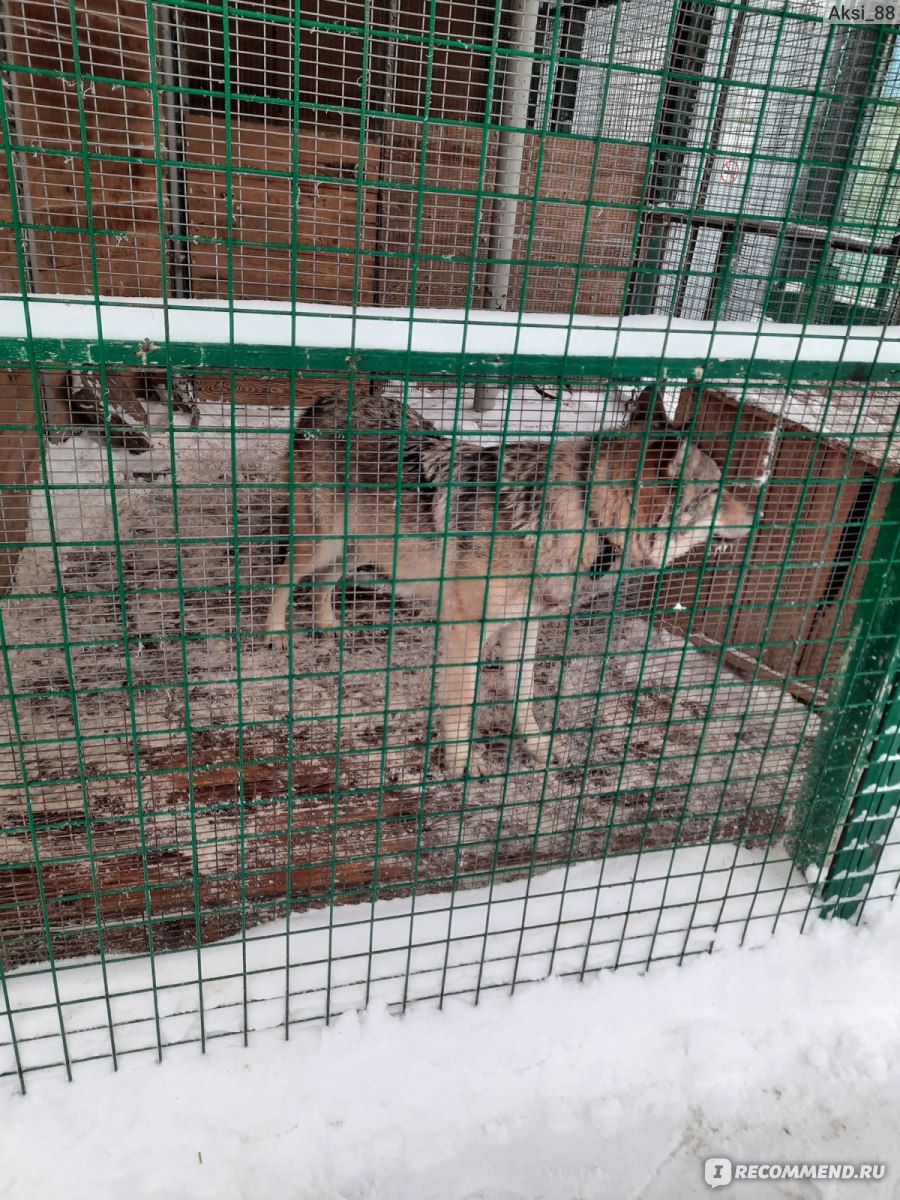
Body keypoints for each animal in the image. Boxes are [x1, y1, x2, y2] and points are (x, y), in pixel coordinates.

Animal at [266, 386, 753, 777]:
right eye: (717, 491)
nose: (758, 515)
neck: (581, 515)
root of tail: (328, 399)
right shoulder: (465, 631)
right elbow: (462, 701)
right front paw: (463, 762)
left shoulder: (524, 627)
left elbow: (524, 697)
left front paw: (537, 746)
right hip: (323, 543)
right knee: (284, 577)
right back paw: (274, 634)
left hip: (360, 551)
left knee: (321, 585)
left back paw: (329, 626)